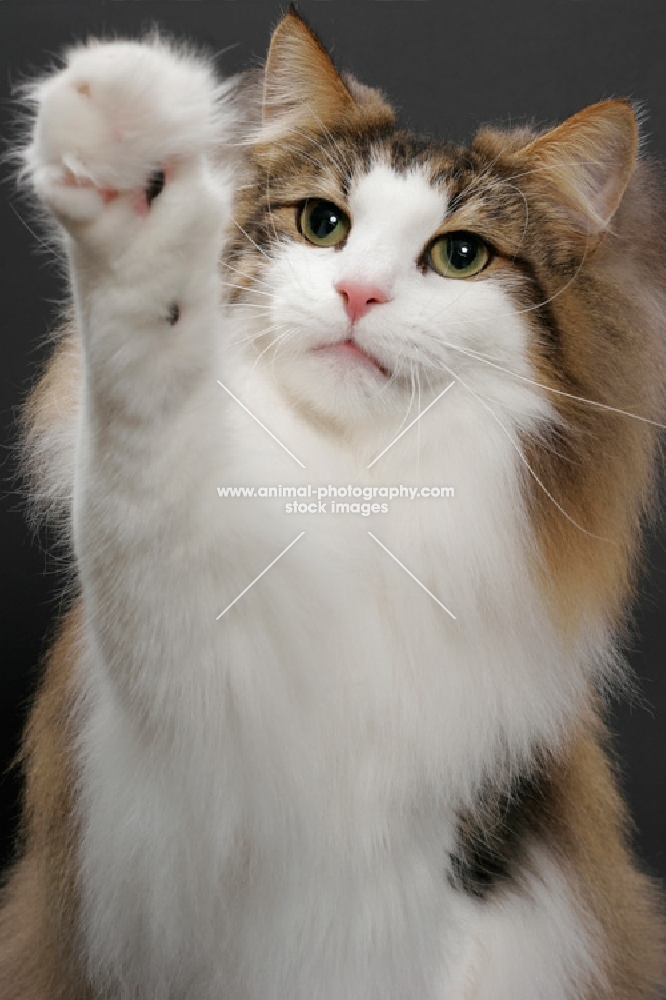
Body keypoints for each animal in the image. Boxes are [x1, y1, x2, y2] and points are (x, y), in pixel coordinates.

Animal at [1, 3, 664, 996]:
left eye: (460, 256)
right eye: (323, 224)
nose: (359, 293)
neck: (356, 483)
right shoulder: (170, 776)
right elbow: (143, 474)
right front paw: (126, 178)